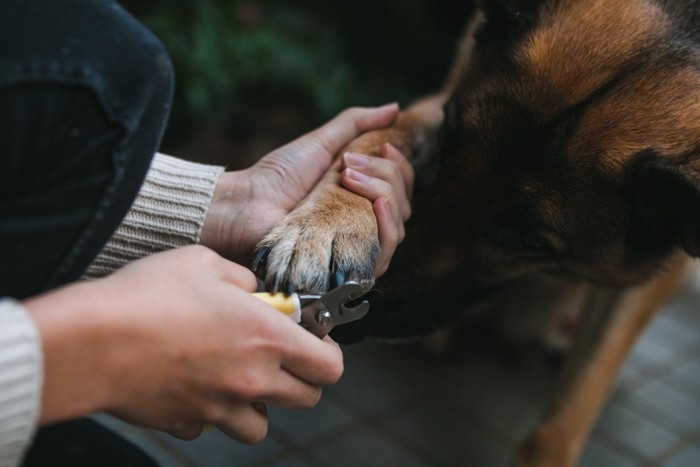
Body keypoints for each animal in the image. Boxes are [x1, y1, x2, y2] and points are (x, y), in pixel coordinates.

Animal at [252, 1, 700, 466]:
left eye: (527, 241)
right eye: (449, 140)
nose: (351, 321)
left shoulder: (656, 273)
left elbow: (566, 418)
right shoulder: (439, 100)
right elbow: (374, 138)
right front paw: (326, 224)